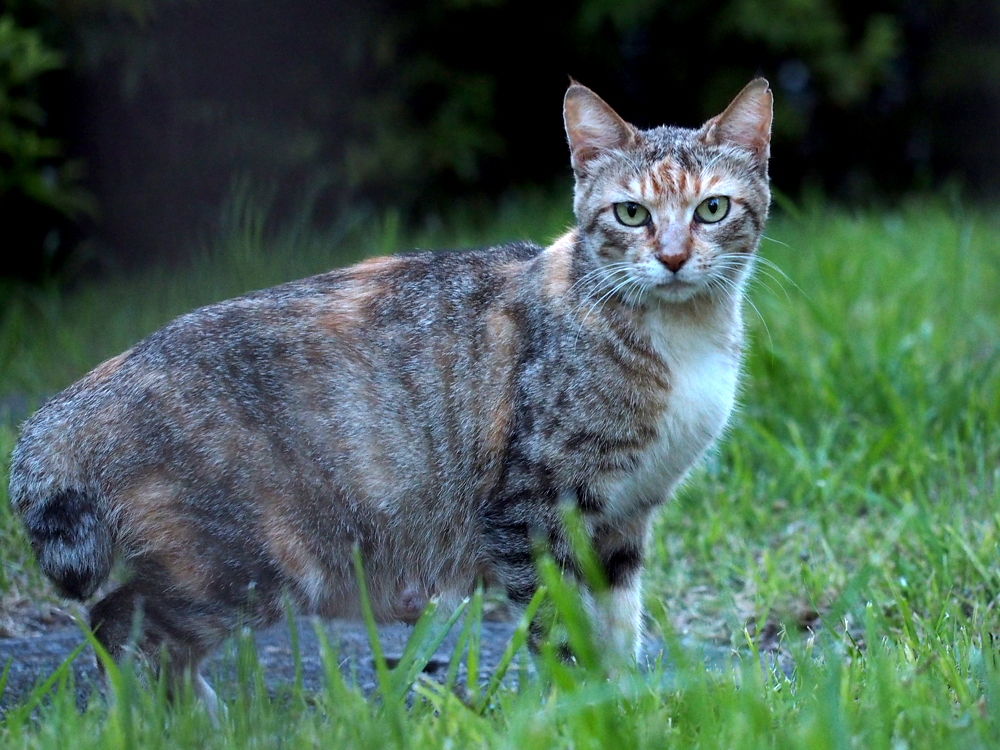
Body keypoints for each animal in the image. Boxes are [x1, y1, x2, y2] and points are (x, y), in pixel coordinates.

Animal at [9, 78, 772, 709]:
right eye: (631, 215)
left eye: (712, 208)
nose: (673, 257)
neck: (680, 336)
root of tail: (84, 395)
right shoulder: (531, 508)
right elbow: (560, 626)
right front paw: (583, 705)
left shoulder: (622, 518)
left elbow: (616, 623)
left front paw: (625, 701)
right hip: (248, 561)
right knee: (118, 622)